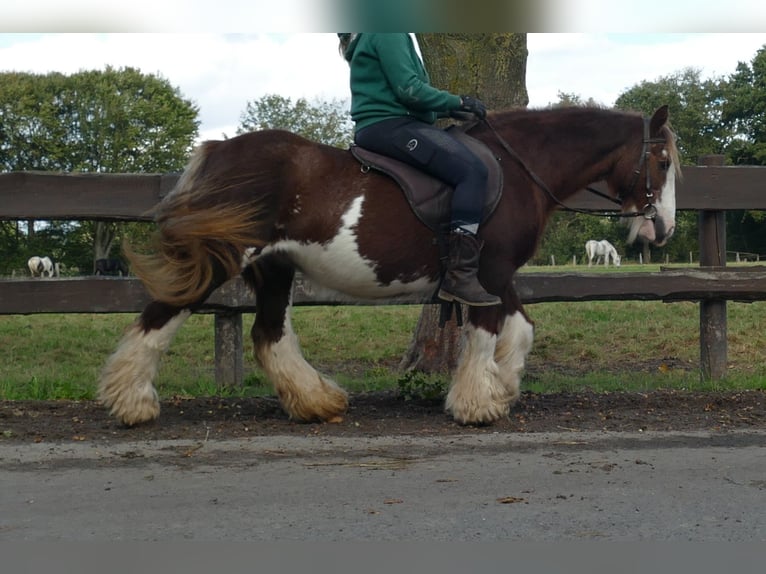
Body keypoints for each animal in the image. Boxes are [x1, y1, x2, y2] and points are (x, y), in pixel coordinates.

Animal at [98, 105, 680, 427]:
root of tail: (219, 151)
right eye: (663, 161)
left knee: (269, 335)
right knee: (161, 316)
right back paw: (131, 403)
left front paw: (503, 387)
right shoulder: (487, 272)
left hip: (276, 268)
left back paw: (316, 402)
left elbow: (521, 329)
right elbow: (487, 334)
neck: (518, 169)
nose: (664, 229)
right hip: (222, 258)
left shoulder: (493, 276)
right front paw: (478, 403)